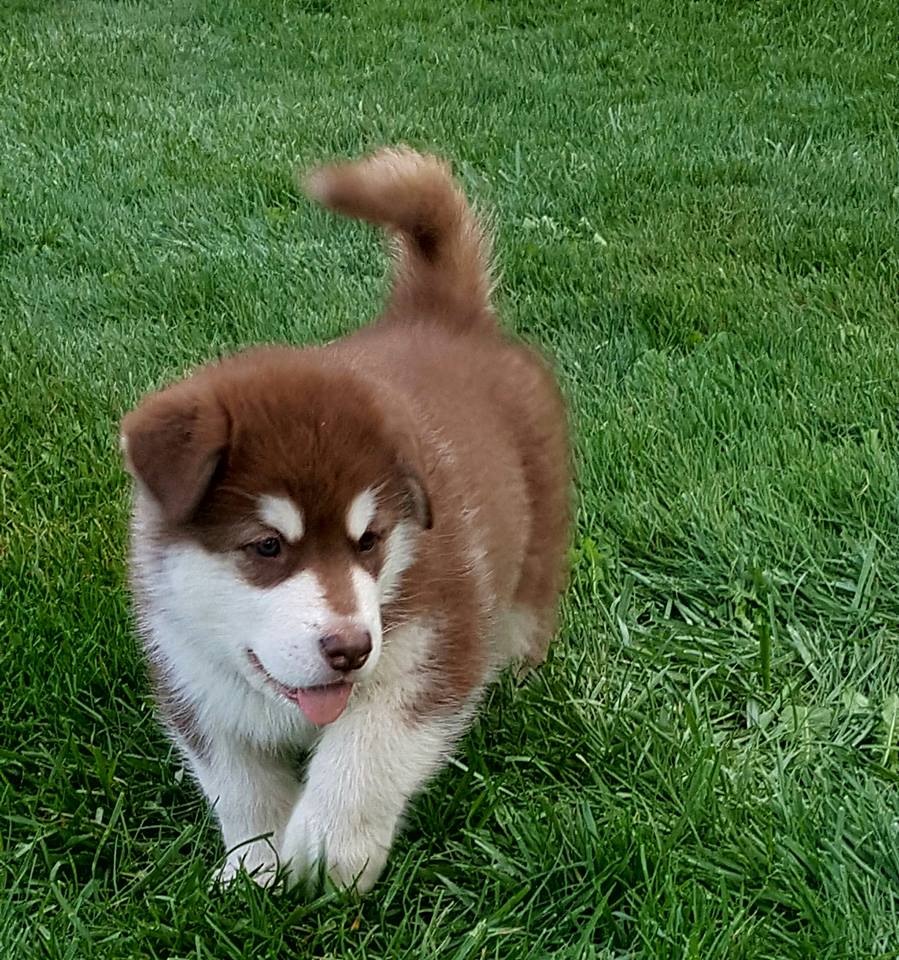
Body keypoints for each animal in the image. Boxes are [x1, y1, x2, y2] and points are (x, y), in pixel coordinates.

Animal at [121, 144, 568, 892]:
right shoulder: (191, 675)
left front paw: (331, 850)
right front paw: (255, 866)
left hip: (537, 553)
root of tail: (441, 316)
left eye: (371, 541)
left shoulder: (434, 646)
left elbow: (370, 750)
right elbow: (238, 781)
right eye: (266, 547)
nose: (351, 649)